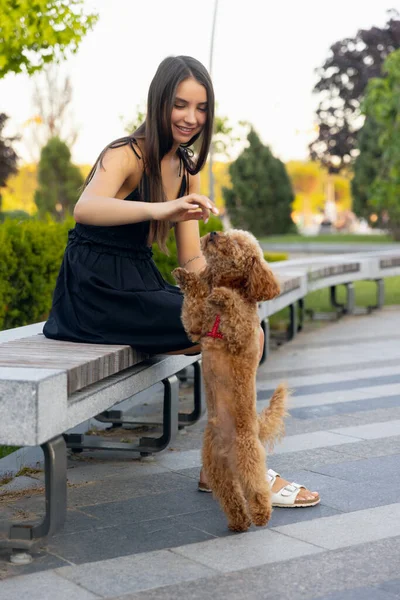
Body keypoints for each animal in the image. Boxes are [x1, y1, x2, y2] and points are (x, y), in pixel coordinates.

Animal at [172, 229, 288, 528]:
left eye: (235, 243)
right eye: (226, 232)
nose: (213, 232)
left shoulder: (241, 334)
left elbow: (233, 306)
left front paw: (223, 296)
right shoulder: (196, 326)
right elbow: (193, 304)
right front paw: (185, 276)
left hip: (247, 456)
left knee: (255, 489)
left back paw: (260, 515)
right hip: (216, 468)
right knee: (231, 496)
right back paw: (238, 522)